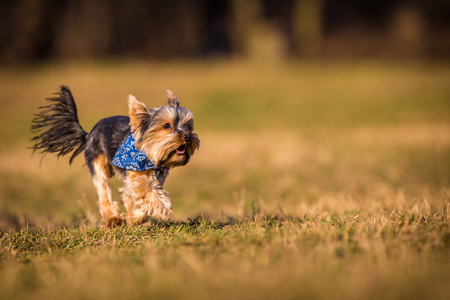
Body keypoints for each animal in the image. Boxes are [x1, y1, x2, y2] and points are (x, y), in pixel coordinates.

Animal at [30, 86, 200, 227]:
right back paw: (112, 219)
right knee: (103, 195)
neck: (148, 156)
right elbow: (144, 193)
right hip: (97, 164)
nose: (187, 136)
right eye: (166, 126)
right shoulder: (133, 179)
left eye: (187, 126)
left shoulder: (151, 181)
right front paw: (161, 209)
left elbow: (138, 201)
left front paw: (132, 218)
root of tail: (88, 134)